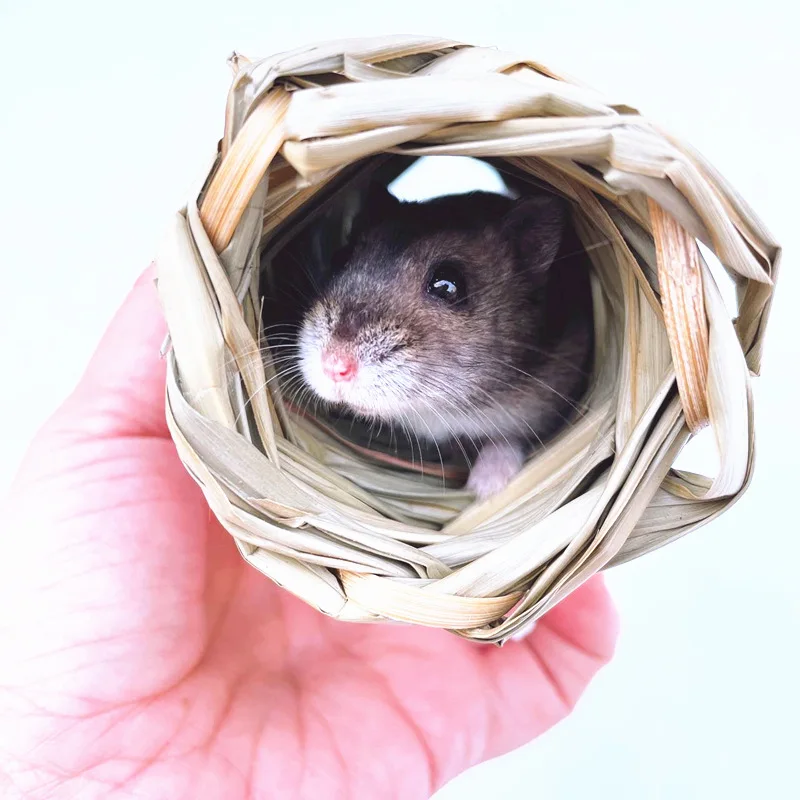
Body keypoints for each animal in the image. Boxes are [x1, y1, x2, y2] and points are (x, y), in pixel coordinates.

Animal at [295, 184, 593, 499]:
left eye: (448, 285)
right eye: (342, 257)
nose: (334, 367)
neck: (441, 409)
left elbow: (510, 437)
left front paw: (483, 488)